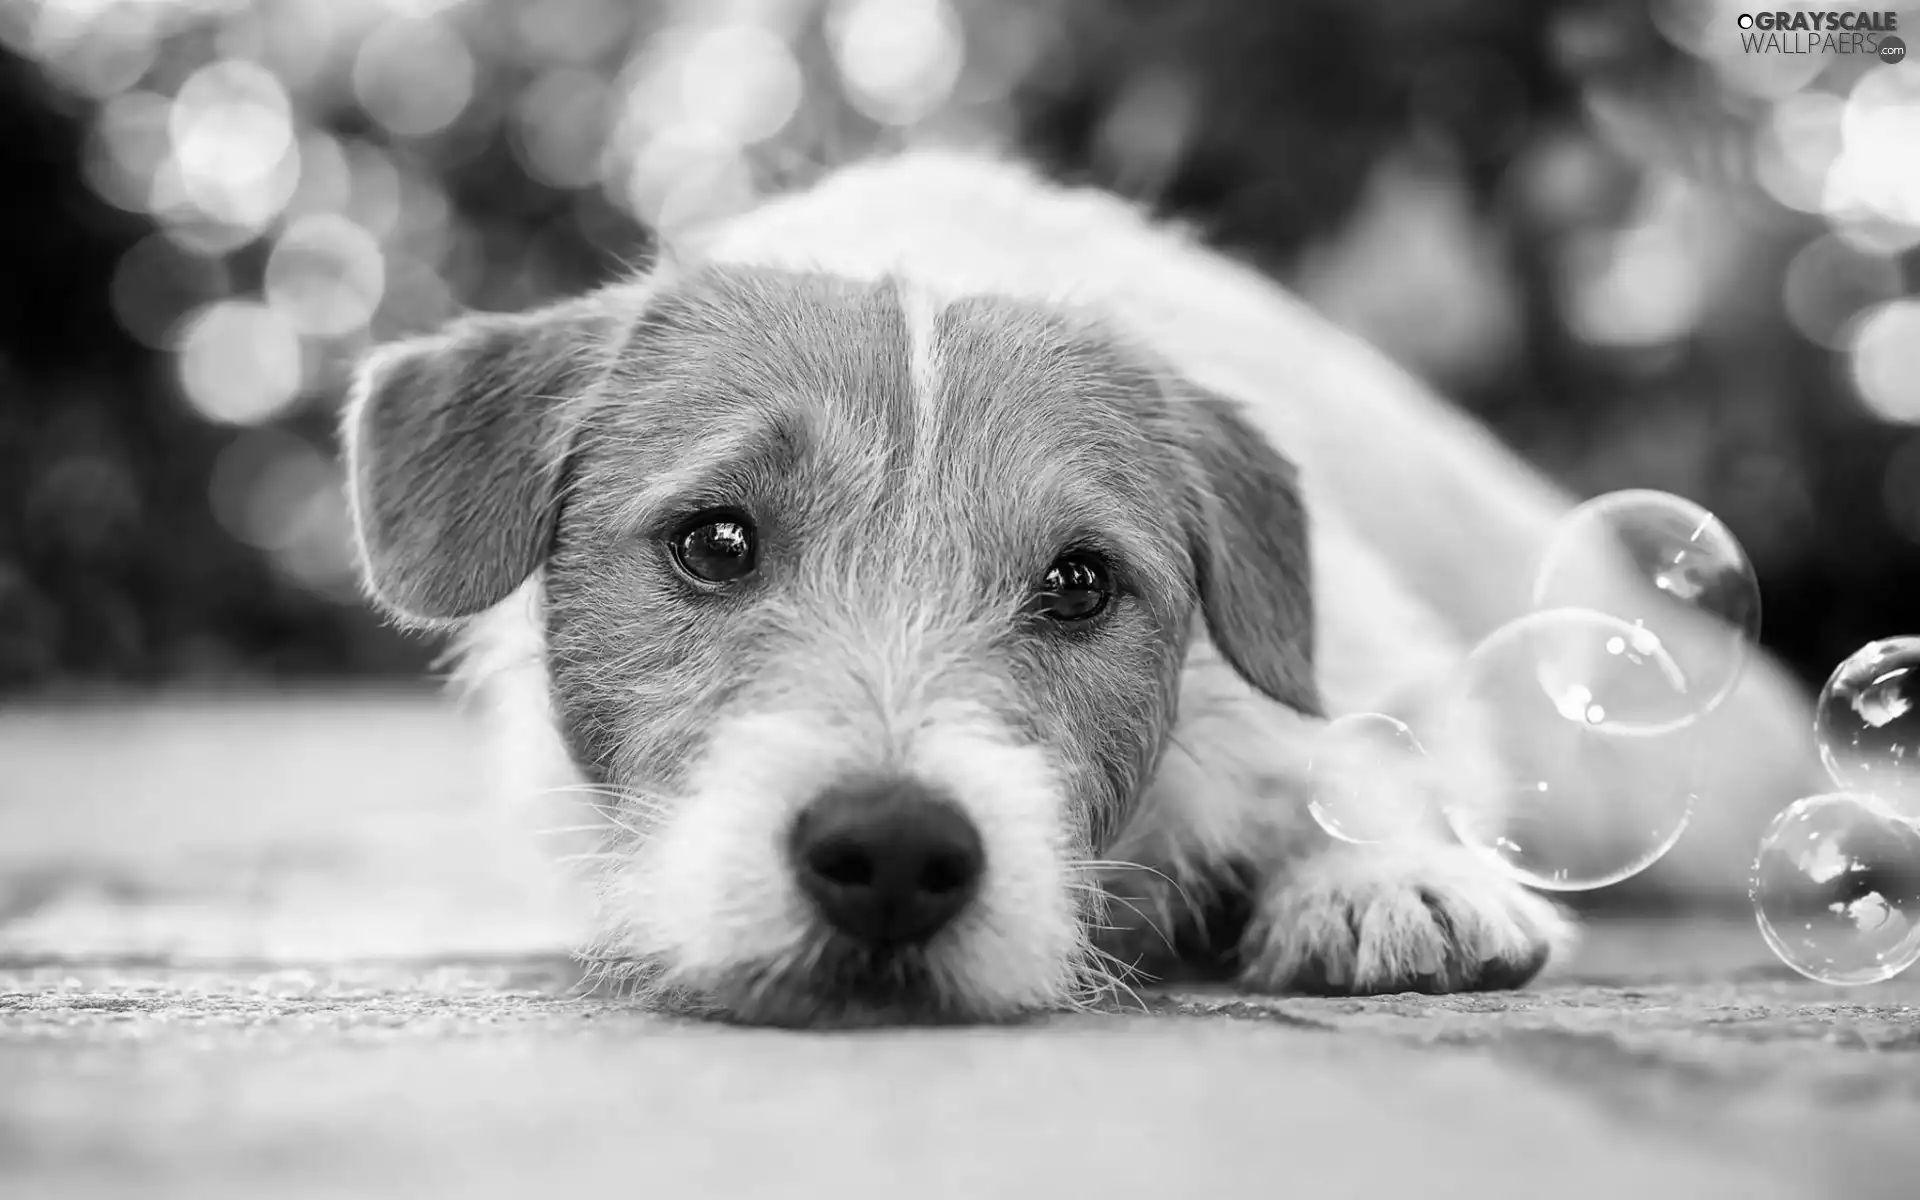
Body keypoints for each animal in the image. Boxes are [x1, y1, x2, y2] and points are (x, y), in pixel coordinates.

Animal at [337, 147, 1820, 1021]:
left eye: (1081, 582)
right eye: (713, 543)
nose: (891, 854)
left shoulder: (1365, 653)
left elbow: (1368, 751)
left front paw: (1386, 878)